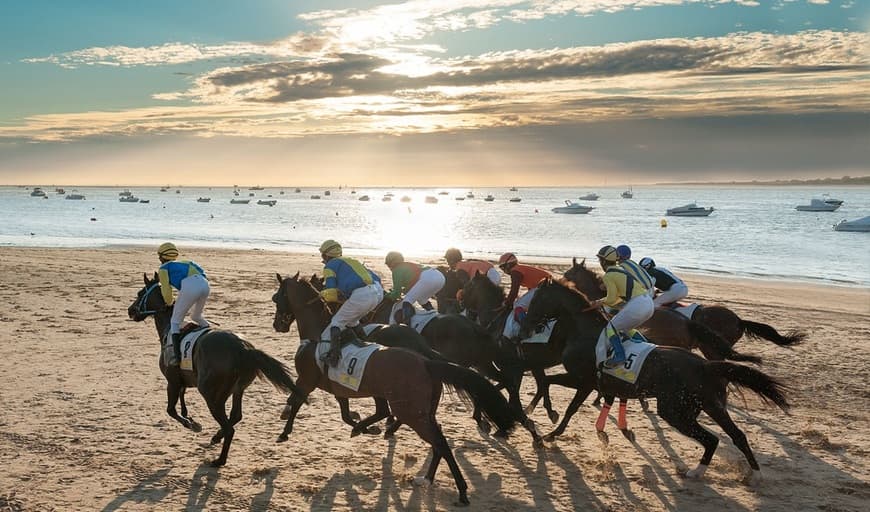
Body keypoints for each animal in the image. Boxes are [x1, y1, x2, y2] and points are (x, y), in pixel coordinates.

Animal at [127, 274, 302, 466]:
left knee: (229, 427)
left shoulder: (171, 381)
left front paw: (192, 424)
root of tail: (244, 348)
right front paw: (189, 417)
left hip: (211, 394)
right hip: (237, 389)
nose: (130, 310)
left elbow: (171, 410)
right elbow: (182, 398)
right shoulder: (183, 380)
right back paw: (217, 437)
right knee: (235, 416)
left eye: (140, 293)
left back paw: (220, 459)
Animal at [272, 272, 520, 504]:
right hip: (433, 400)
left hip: (411, 410)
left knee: (437, 439)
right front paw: (363, 425)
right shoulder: (338, 387)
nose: (277, 324)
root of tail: (426, 361)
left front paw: (284, 431)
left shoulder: (307, 380)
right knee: (437, 433)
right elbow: (345, 413)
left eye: (277, 297)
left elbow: (297, 400)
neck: (319, 334)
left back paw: (460, 487)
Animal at [520, 276, 792, 480]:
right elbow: (574, 398)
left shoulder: (584, 381)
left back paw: (696, 471)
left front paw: (549, 425)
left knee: (713, 439)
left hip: (674, 410)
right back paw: (753, 474)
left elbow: (561, 398)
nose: (525, 326)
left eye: (537, 300)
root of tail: (706, 366)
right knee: (736, 435)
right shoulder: (602, 385)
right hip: (710, 405)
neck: (585, 331)